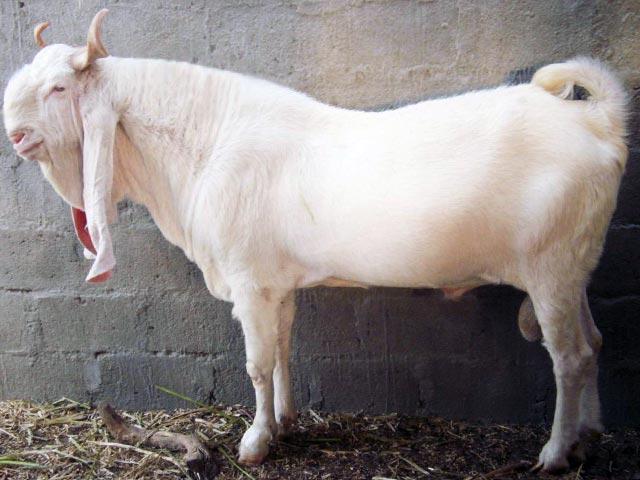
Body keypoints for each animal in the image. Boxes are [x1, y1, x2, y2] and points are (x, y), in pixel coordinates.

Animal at [3, 10, 628, 472]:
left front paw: (254, 443)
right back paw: (588, 436)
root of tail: (598, 123)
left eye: (58, 88)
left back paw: (554, 453)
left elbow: (257, 363)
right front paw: (285, 422)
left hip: (550, 270)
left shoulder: (250, 282)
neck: (207, 144)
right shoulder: (278, 285)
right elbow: (283, 350)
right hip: (575, 269)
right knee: (594, 343)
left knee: (569, 356)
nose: (14, 134)